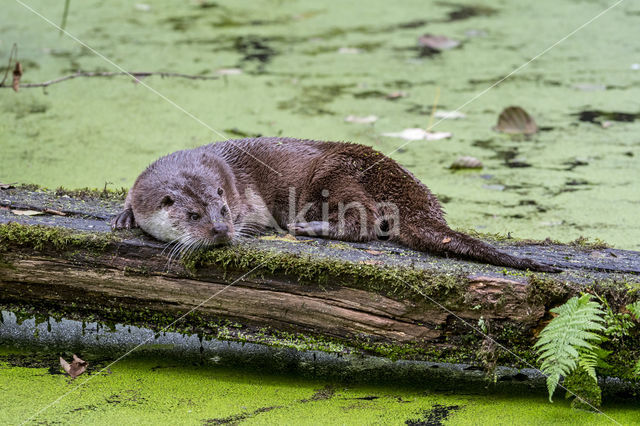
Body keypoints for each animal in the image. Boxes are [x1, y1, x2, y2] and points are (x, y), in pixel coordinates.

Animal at [112, 140, 556, 272]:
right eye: (193, 216)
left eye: (222, 212)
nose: (221, 231)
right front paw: (125, 214)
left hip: (336, 171)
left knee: (366, 222)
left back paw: (311, 228)